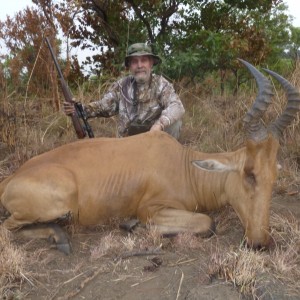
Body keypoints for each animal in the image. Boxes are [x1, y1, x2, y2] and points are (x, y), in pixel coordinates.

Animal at [0, 59, 298, 254]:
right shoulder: (151, 208)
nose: (261, 243)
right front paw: (133, 226)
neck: (184, 165)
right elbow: (207, 222)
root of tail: (10, 179)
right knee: (7, 228)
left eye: (274, 176)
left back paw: (59, 237)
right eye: (249, 173)